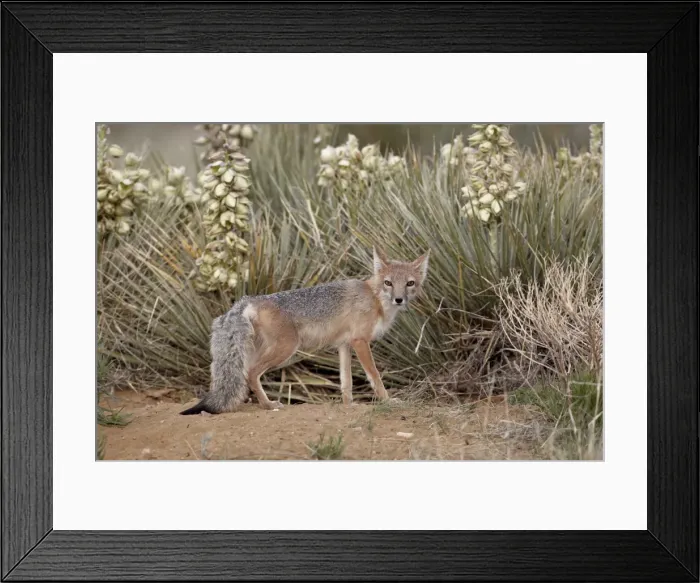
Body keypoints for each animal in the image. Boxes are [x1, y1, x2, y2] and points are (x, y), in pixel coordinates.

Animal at [180, 246, 430, 415]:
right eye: (388, 283)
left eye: (409, 283)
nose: (399, 299)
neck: (376, 299)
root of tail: (249, 300)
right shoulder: (360, 342)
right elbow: (375, 376)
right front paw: (387, 400)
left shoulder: (344, 345)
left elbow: (346, 382)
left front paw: (348, 406)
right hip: (285, 349)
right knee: (251, 373)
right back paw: (268, 404)